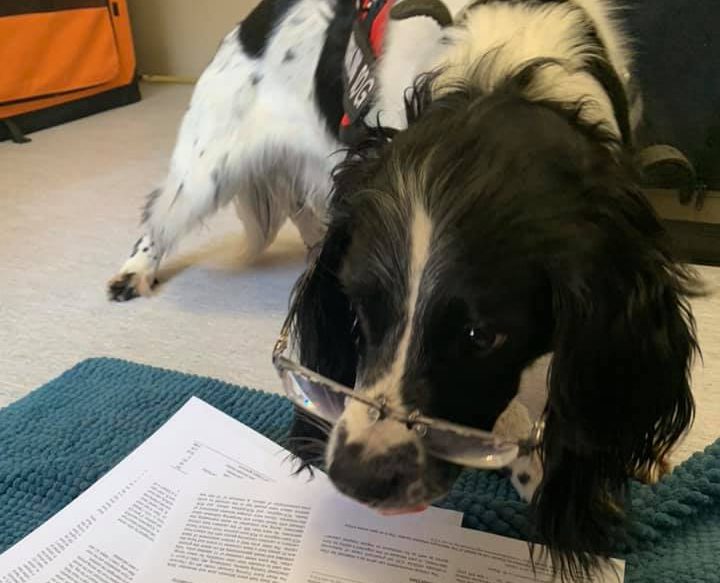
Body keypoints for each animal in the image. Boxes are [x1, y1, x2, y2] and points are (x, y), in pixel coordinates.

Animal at [107, 0, 696, 576]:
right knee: (160, 214)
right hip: (206, 171)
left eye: (483, 337)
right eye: (358, 307)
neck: (506, 70)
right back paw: (133, 272)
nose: (356, 477)